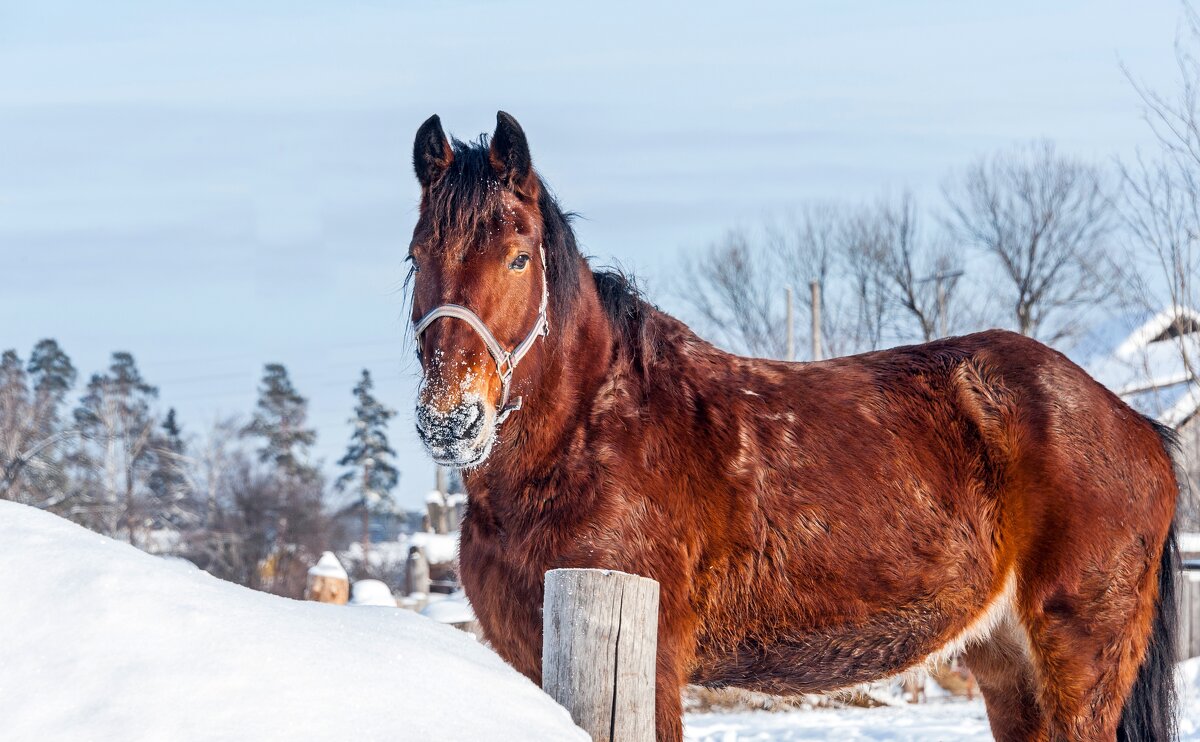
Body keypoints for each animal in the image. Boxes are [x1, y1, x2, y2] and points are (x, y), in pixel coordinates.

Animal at [408, 111, 1176, 739]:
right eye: (417, 258)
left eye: (519, 257)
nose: (451, 420)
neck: (591, 434)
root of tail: (1134, 423)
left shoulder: (650, 670)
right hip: (1006, 663)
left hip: (1081, 664)